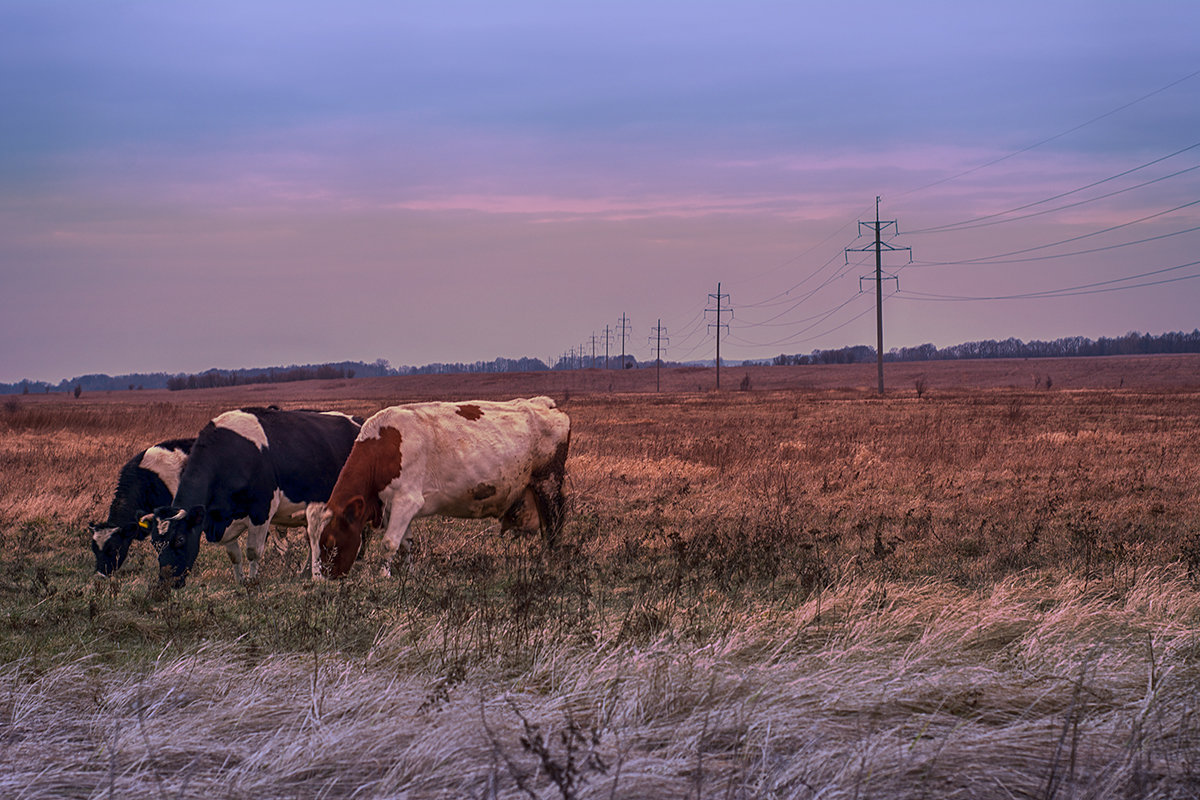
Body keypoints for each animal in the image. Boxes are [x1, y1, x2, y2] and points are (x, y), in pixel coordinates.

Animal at [150, 407, 357, 587]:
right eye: (154, 543)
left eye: (180, 540)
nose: (165, 583)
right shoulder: (223, 519)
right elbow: (234, 555)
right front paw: (240, 581)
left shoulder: (262, 510)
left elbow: (253, 552)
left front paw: (253, 582)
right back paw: (306, 572)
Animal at [314, 398, 566, 578]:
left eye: (330, 542)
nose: (324, 578)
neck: (383, 447)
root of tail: (545, 403)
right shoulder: (393, 507)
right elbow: (406, 543)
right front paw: (408, 572)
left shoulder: (407, 500)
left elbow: (389, 543)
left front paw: (383, 576)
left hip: (548, 484)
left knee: (553, 527)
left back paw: (550, 563)